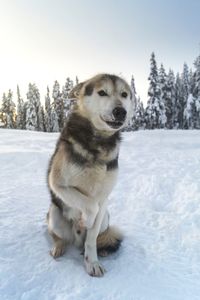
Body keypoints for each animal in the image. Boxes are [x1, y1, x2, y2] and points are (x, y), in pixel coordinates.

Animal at [46, 73, 133, 276]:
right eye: (102, 92)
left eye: (124, 94)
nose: (120, 111)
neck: (99, 142)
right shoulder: (58, 184)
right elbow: (90, 206)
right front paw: (84, 220)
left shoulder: (103, 199)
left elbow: (91, 238)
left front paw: (92, 262)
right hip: (54, 214)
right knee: (57, 236)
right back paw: (59, 246)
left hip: (106, 218)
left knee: (95, 238)